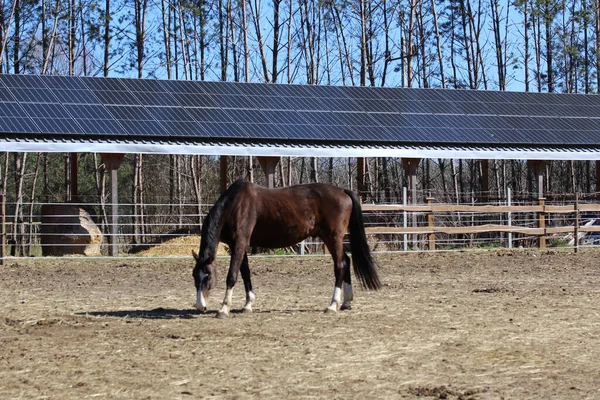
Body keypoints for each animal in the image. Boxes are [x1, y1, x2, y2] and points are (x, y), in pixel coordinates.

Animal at [192, 178, 380, 318]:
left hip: (333, 237)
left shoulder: (240, 242)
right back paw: (346, 302)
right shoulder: (238, 245)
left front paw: (224, 309)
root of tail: (343, 191)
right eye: (194, 277)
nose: (200, 307)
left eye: (208, 277)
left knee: (340, 265)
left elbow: (232, 275)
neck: (236, 204)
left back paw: (332, 305)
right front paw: (248, 304)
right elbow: (245, 273)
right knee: (346, 261)